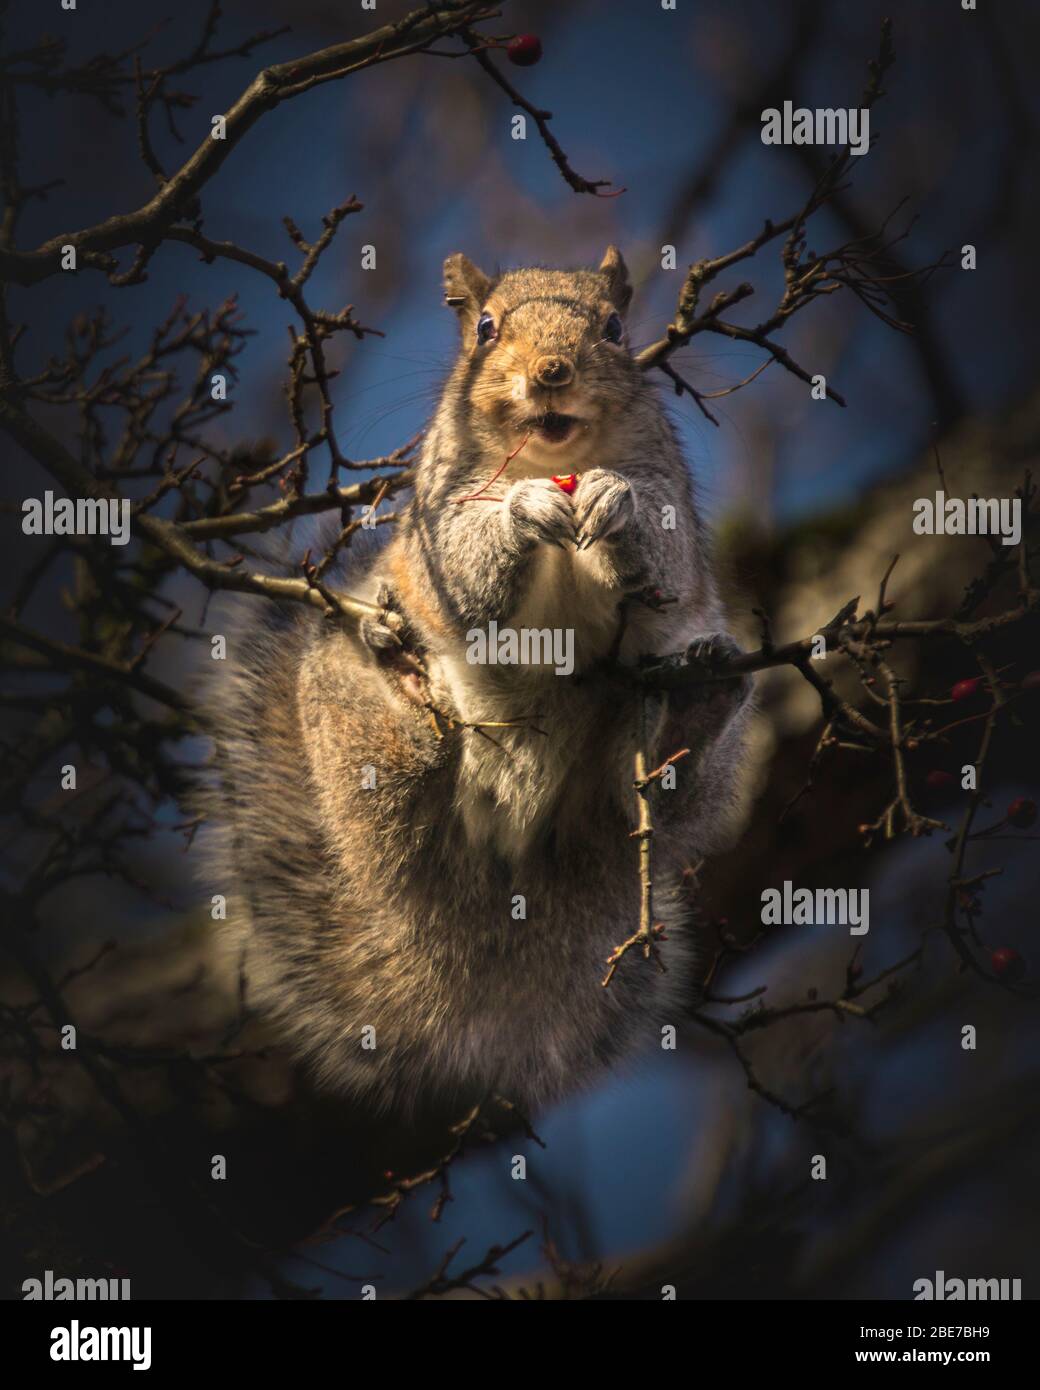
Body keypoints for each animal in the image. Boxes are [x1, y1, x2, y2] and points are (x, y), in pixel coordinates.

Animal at [202, 250, 750, 1112]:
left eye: (614, 327)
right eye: (485, 329)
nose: (551, 372)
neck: (555, 461)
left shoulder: (668, 495)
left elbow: (662, 551)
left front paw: (616, 501)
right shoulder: (439, 510)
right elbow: (465, 563)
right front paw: (521, 510)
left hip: (642, 772)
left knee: (662, 790)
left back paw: (703, 696)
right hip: (350, 722)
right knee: (404, 778)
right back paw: (397, 674)